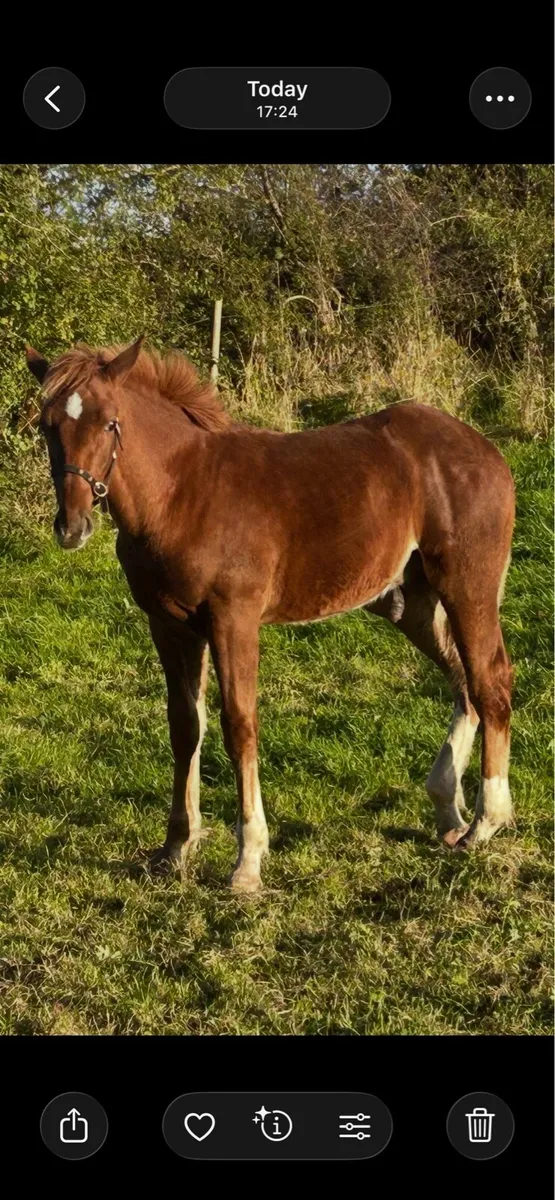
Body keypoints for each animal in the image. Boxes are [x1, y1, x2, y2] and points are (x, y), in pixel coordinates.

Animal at [26, 337, 516, 892]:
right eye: (46, 425)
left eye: (110, 423)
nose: (72, 526)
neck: (182, 493)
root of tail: (486, 450)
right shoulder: (169, 625)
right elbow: (184, 726)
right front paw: (175, 848)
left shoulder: (232, 620)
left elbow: (239, 724)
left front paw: (248, 862)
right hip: (409, 604)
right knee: (463, 682)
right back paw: (447, 810)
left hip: (466, 588)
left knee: (490, 679)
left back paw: (485, 822)